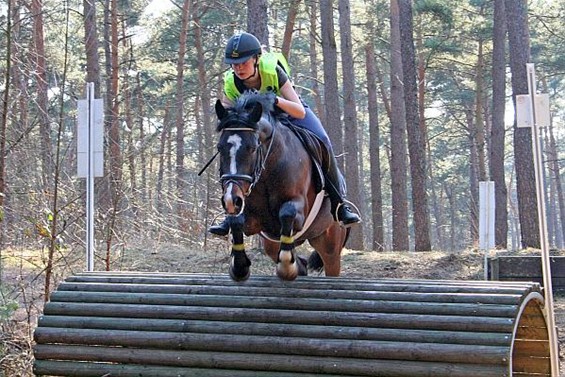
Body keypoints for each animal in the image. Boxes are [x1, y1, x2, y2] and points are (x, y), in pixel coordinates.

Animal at [214, 91, 348, 280]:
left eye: (252, 148)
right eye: (220, 148)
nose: (231, 200)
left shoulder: (299, 211)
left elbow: (287, 213)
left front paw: (286, 266)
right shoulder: (255, 219)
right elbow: (237, 220)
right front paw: (239, 266)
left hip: (330, 243)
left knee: (331, 264)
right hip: (271, 243)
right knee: (296, 260)